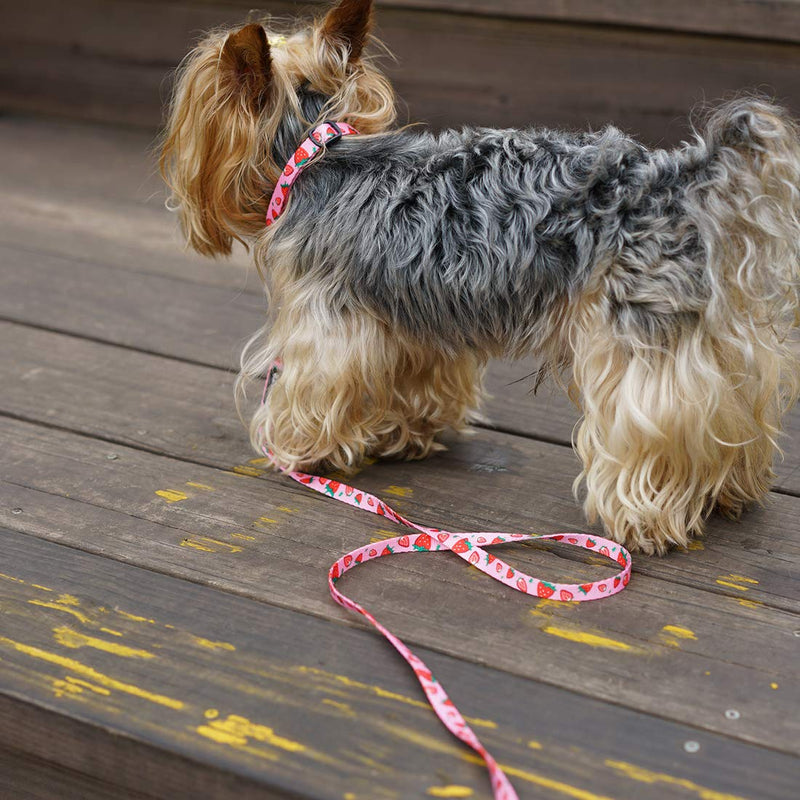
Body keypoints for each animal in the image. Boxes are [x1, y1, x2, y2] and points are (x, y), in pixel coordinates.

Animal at [159, 0, 800, 552]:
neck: (317, 153)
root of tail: (677, 178)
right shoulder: (413, 312)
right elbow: (419, 378)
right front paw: (406, 433)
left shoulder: (326, 319)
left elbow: (309, 387)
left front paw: (297, 450)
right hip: (711, 326)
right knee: (733, 402)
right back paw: (732, 492)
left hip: (635, 332)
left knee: (653, 420)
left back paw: (645, 520)